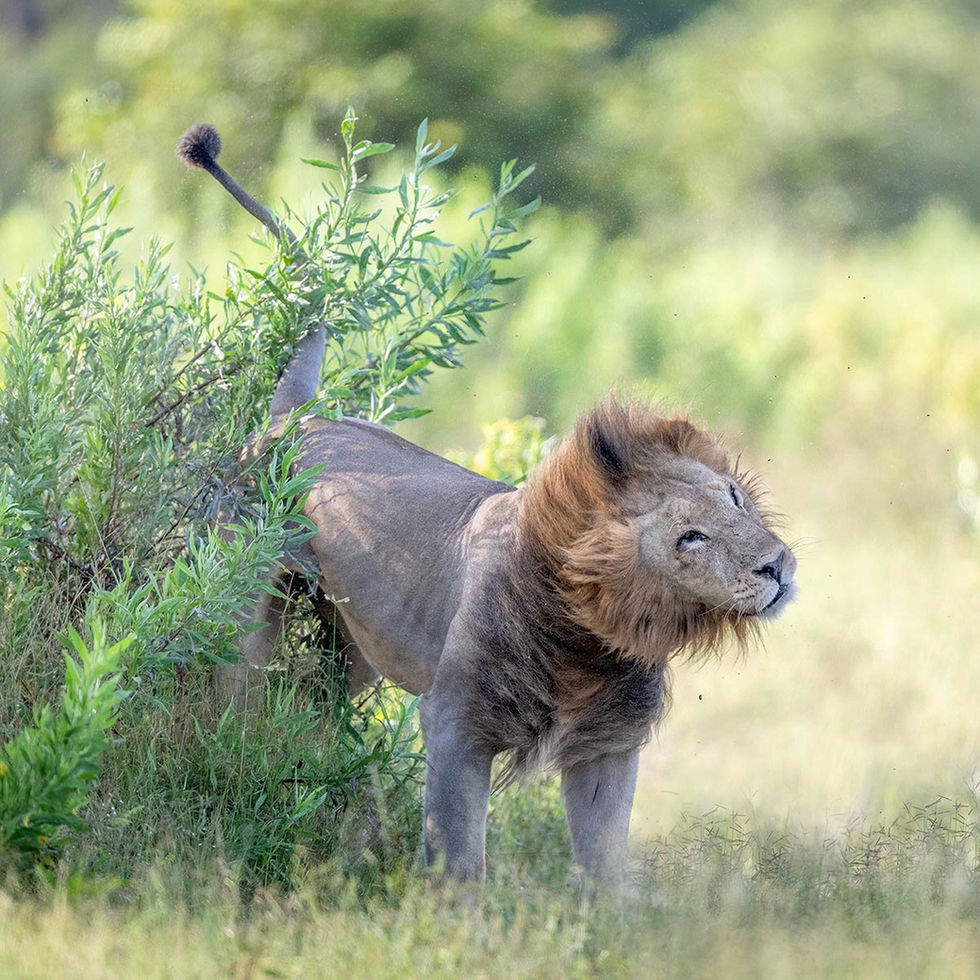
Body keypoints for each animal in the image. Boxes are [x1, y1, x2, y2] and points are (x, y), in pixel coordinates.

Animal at [178, 124, 798, 887]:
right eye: (690, 539)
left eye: (734, 496)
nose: (777, 566)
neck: (595, 636)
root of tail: (299, 417)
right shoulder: (455, 725)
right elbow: (459, 863)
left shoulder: (608, 747)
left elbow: (603, 872)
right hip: (245, 608)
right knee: (236, 697)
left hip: (354, 645)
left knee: (317, 706)